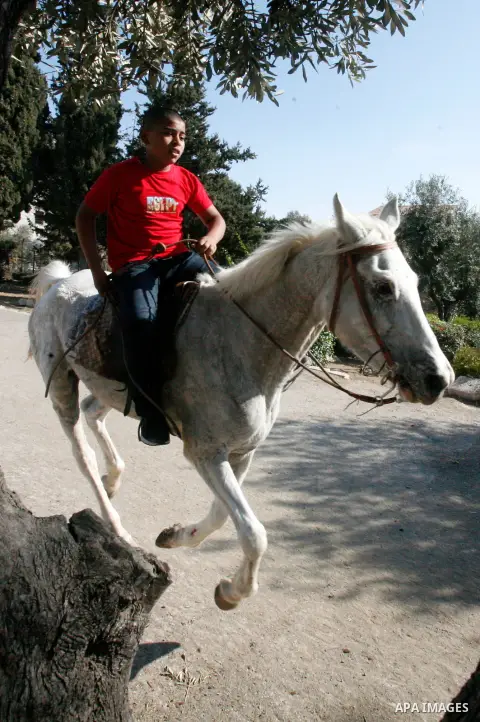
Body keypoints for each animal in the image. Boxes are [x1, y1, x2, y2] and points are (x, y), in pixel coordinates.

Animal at [28, 195, 454, 610]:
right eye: (382, 287)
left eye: (414, 282)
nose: (439, 379)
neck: (240, 341)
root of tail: (60, 282)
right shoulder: (206, 453)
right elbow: (254, 532)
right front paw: (232, 591)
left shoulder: (241, 452)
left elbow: (222, 515)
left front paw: (177, 535)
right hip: (62, 386)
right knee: (81, 452)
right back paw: (117, 525)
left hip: (113, 391)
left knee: (93, 415)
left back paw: (114, 477)